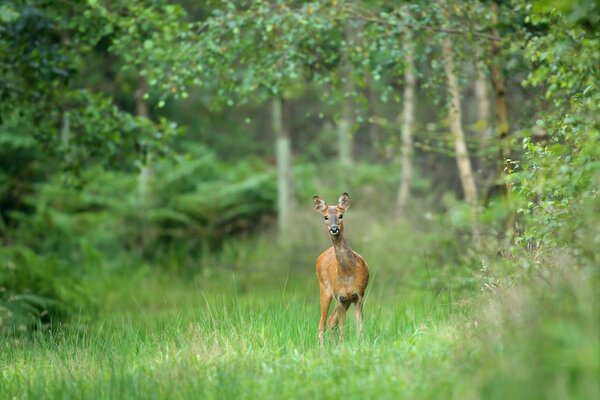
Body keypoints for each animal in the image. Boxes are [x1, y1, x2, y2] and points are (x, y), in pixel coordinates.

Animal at [312, 191, 368, 346]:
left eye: (341, 215)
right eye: (325, 217)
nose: (334, 229)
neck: (347, 274)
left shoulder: (358, 295)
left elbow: (360, 325)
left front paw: (361, 344)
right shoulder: (341, 297)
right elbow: (343, 327)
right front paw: (343, 345)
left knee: (331, 320)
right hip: (324, 289)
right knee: (322, 323)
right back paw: (322, 348)